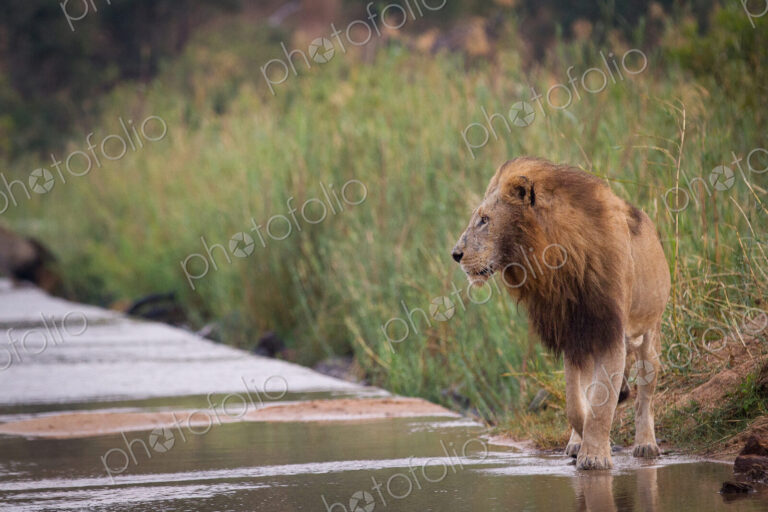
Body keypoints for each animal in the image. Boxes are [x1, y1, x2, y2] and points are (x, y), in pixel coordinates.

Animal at [451, 157, 670, 470]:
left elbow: (602, 404)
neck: (557, 259)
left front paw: (595, 457)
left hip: (649, 334)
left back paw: (646, 444)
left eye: (485, 220)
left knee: (646, 397)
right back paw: (577, 442)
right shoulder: (573, 337)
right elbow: (577, 405)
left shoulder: (609, 331)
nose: (455, 254)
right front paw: (586, 444)